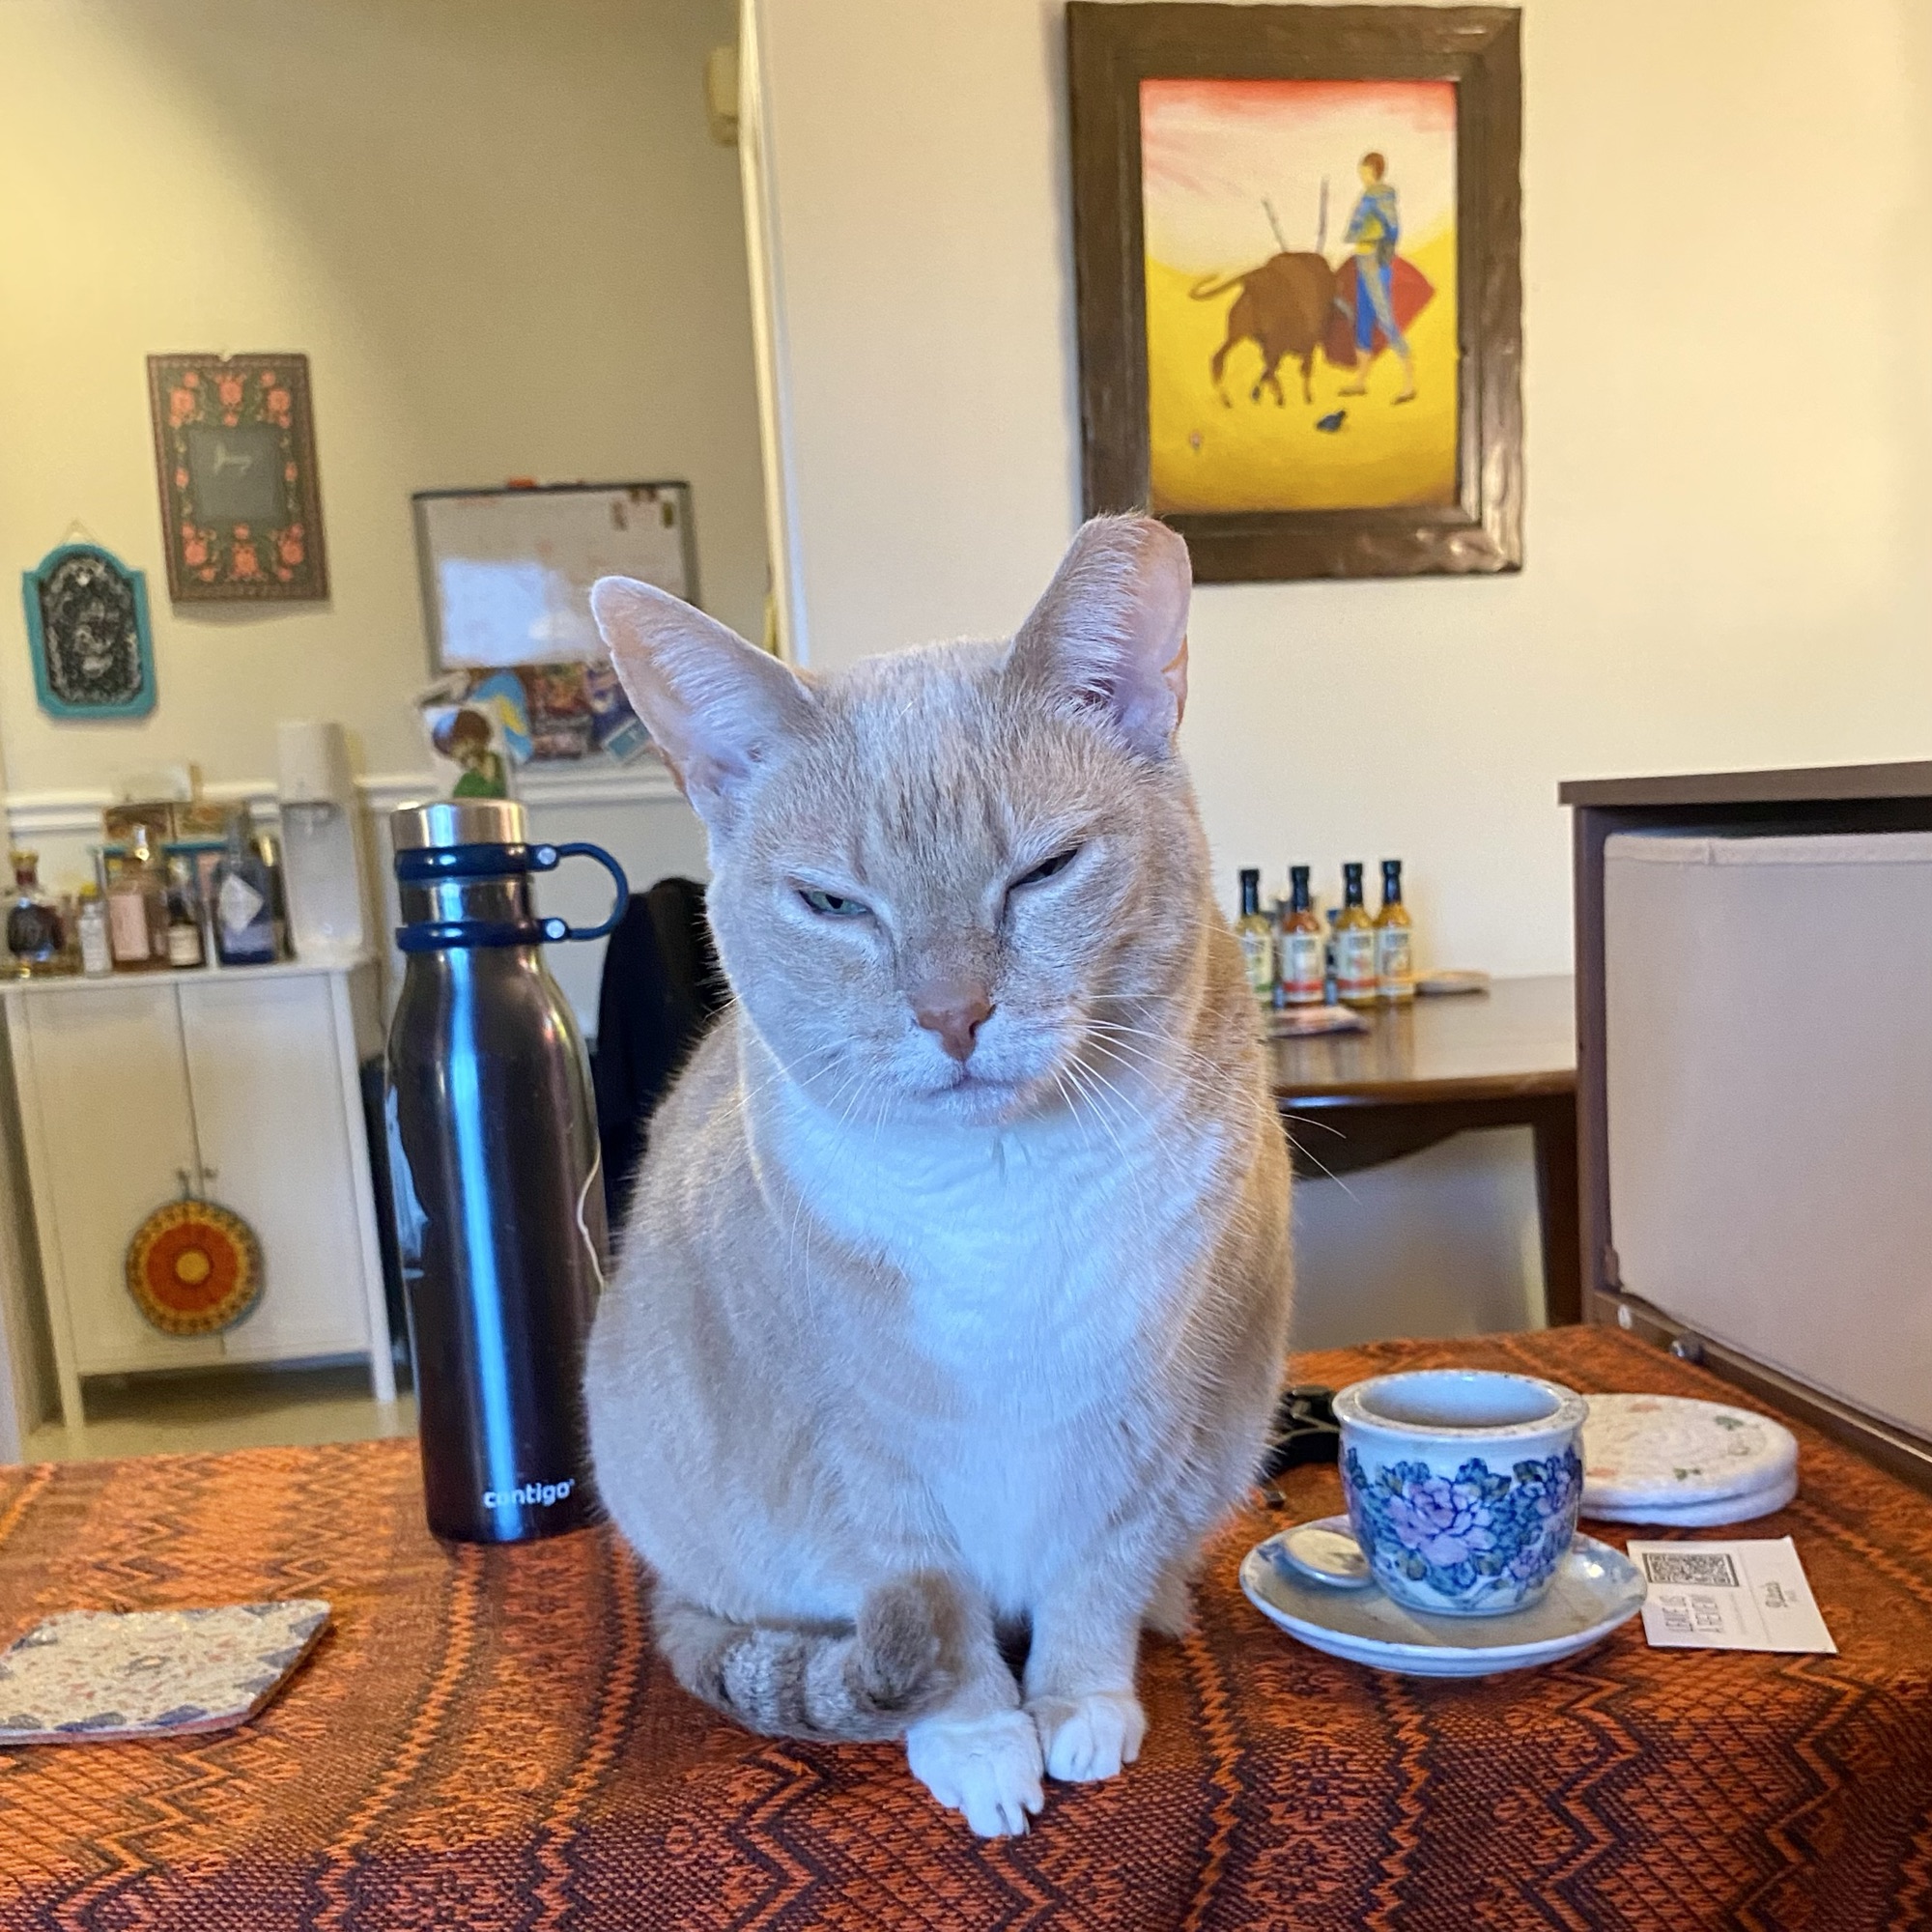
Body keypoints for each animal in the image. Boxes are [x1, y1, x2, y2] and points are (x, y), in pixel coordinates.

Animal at [584, 514, 1292, 1837]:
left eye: (1044, 870)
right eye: (832, 903)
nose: (951, 1012)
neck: (997, 1198)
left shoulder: (1154, 1430)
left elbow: (1092, 1584)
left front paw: (1078, 1709)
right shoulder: (859, 1470)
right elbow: (939, 1621)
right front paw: (979, 1741)